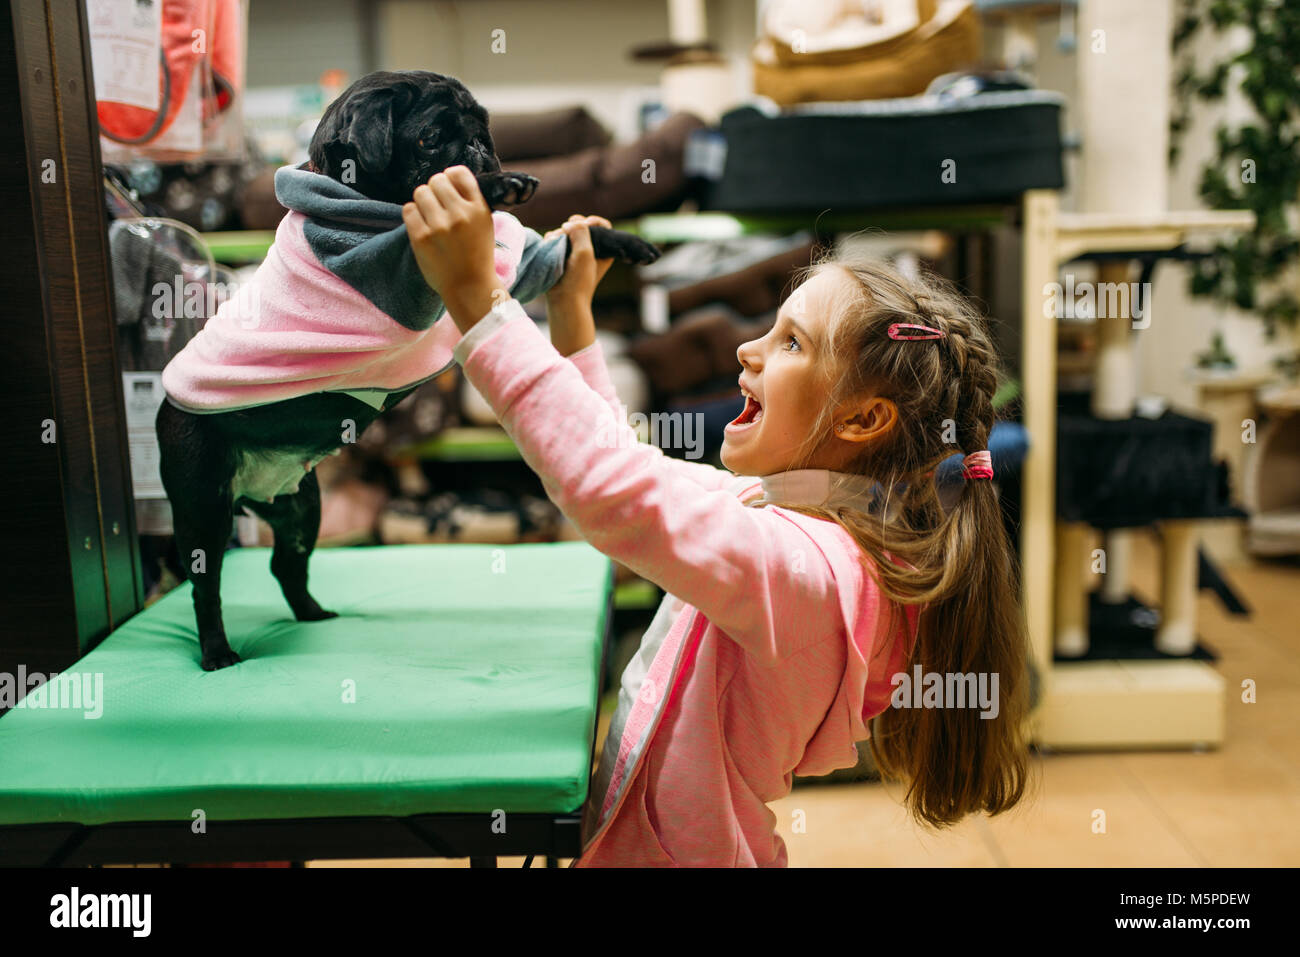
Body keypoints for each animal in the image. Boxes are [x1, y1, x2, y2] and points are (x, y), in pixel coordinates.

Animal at [156, 70, 655, 670]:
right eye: (430, 138)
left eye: (483, 127)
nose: (479, 149)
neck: (362, 202)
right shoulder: (397, 271)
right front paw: (495, 186)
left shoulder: (516, 267)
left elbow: (547, 250)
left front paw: (616, 239)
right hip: (202, 507)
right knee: (205, 585)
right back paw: (218, 652)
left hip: (303, 509)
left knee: (285, 564)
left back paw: (311, 616)